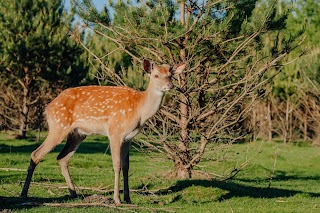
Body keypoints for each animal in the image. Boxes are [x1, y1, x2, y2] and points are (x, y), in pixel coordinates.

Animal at [20, 59, 185, 205]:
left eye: (170, 75)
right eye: (156, 75)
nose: (170, 85)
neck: (139, 111)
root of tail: (48, 107)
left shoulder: (128, 138)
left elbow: (126, 166)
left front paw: (128, 199)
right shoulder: (115, 131)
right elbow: (117, 164)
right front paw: (117, 200)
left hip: (77, 134)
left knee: (62, 158)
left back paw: (74, 193)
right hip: (58, 125)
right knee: (36, 154)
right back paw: (24, 194)